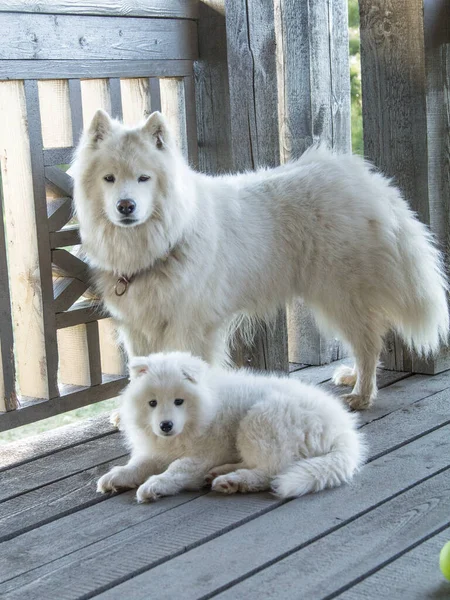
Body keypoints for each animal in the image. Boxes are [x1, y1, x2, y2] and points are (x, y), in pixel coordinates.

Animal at [72, 110, 448, 410]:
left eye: (143, 178)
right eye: (109, 179)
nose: (126, 206)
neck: (164, 240)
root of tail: (365, 179)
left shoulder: (188, 325)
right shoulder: (137, 327)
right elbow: (141, 372)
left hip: (338, 294)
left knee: (368, 343)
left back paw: (362, 394)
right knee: (365, 341)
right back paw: (353, 377)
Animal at [96, 352, 366, 502]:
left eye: (178, 401)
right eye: (152, 403)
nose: (165, 425)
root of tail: (343, 432)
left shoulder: (202, 454)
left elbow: (176, 469)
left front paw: (154, 486)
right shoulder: (160, 450)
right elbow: (138, 464)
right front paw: (115, 477)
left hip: (260, 419)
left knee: (272, 471)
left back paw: (232, 481)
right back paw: (220, 473)